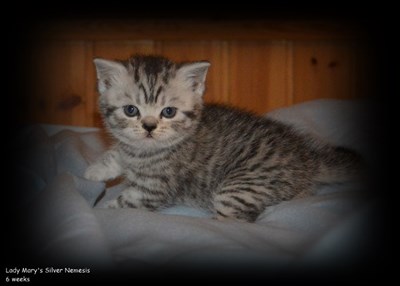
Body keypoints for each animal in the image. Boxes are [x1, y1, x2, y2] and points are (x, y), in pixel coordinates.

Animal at [84, 54, 362, 222]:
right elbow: (117, 154)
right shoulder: (129, 149)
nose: (149, 127)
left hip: (239, 187)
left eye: (168, 112)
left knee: (235, 221)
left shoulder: (152, 190)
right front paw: (93, 172)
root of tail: (306, 158)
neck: (144, 150)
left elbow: (122, 204)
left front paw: (98, 211)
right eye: (131, 110)